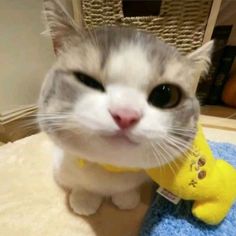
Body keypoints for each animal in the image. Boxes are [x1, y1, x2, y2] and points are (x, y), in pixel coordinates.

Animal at [37, 0, 213, 215]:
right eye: (87, 81)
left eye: (165, 95)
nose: (126, 115)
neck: (110, 168)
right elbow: (79, 185)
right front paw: (84, 199)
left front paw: (126, 198)